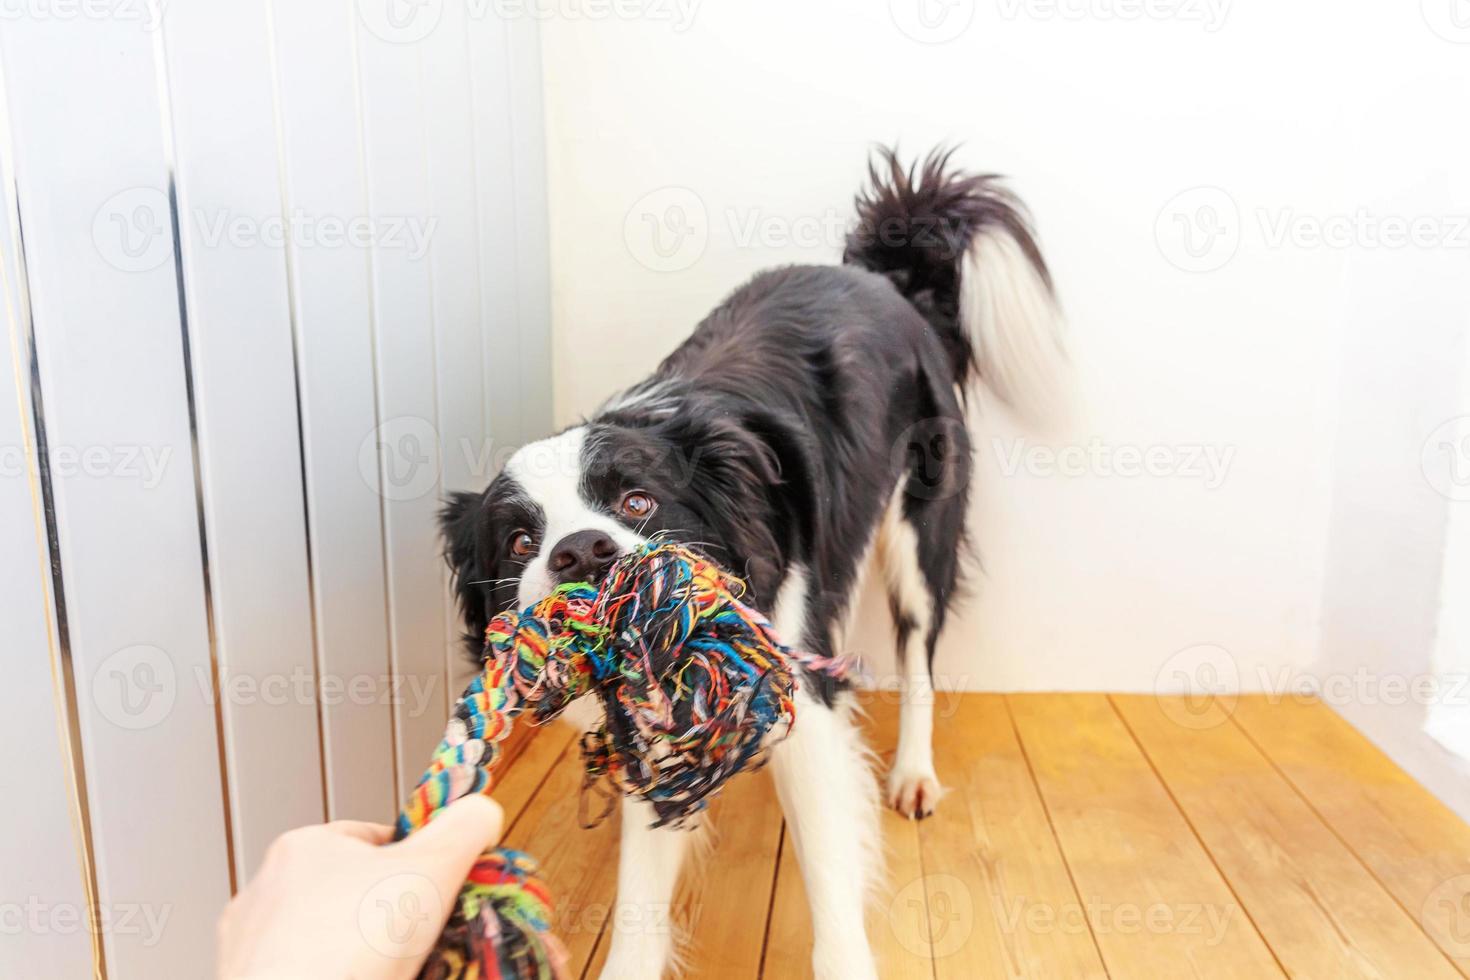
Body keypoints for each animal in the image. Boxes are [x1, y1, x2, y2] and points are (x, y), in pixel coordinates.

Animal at [429, 147, 1064, 980]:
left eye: (637, 501)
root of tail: (884, 278)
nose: (582, 552)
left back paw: (913, 775)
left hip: (921, 531)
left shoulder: (803, 686)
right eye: (519, 543)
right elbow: (640, 899)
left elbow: (830, 873)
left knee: (919, 657)